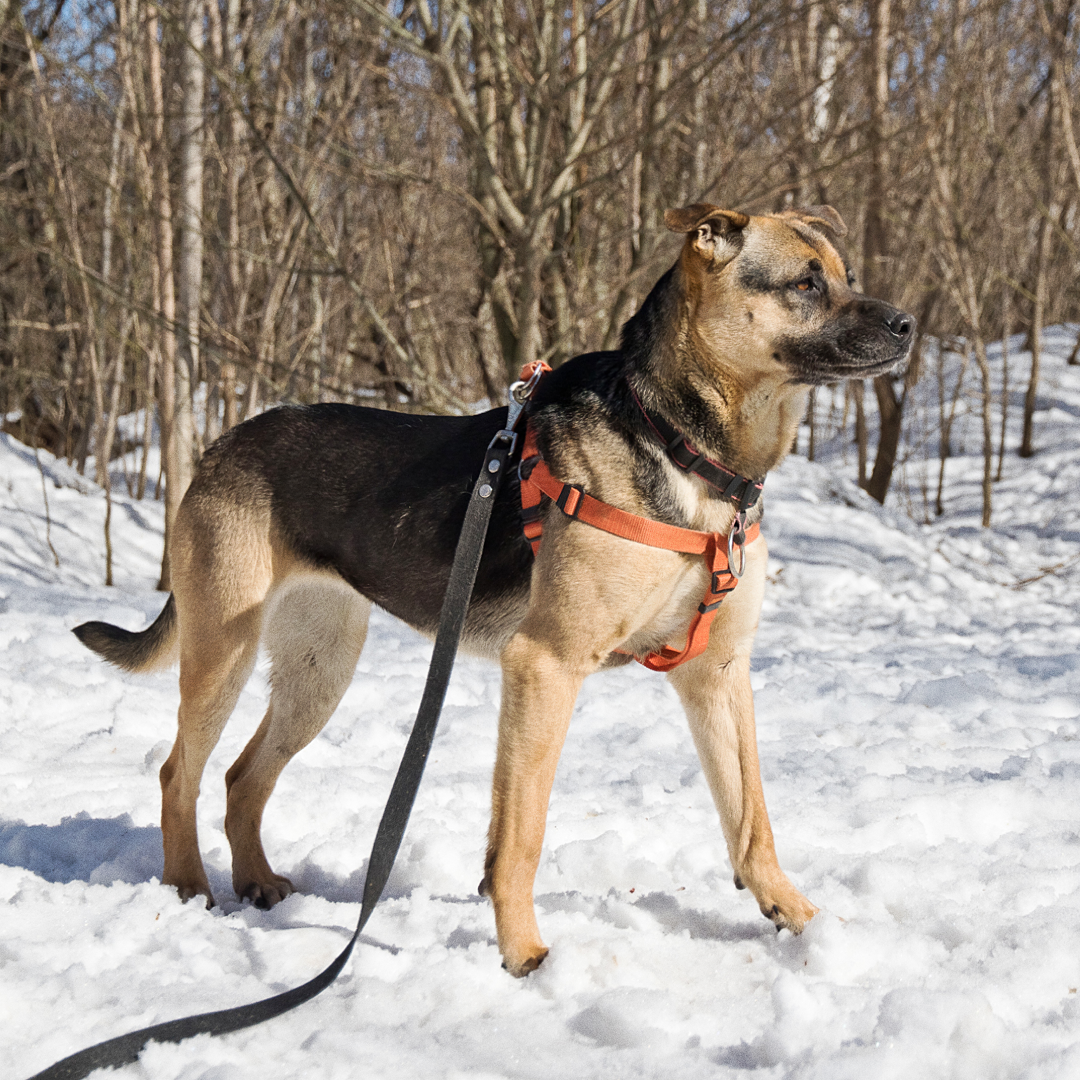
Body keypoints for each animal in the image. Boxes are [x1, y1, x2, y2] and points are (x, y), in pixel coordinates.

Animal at [78, 203, 911, 980]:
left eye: (847, 275)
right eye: (805, 284)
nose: (908, 325)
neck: (686, 445)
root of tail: (221, 443)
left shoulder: (717, 674)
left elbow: (751, 820)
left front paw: (797, 917)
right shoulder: (544, 667)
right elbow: (522, 835)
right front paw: (523, 953)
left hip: (319, 671)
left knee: (242, 777)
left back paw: (257, 883)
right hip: (224, 651)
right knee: (180, 772)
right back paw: (189, 888)